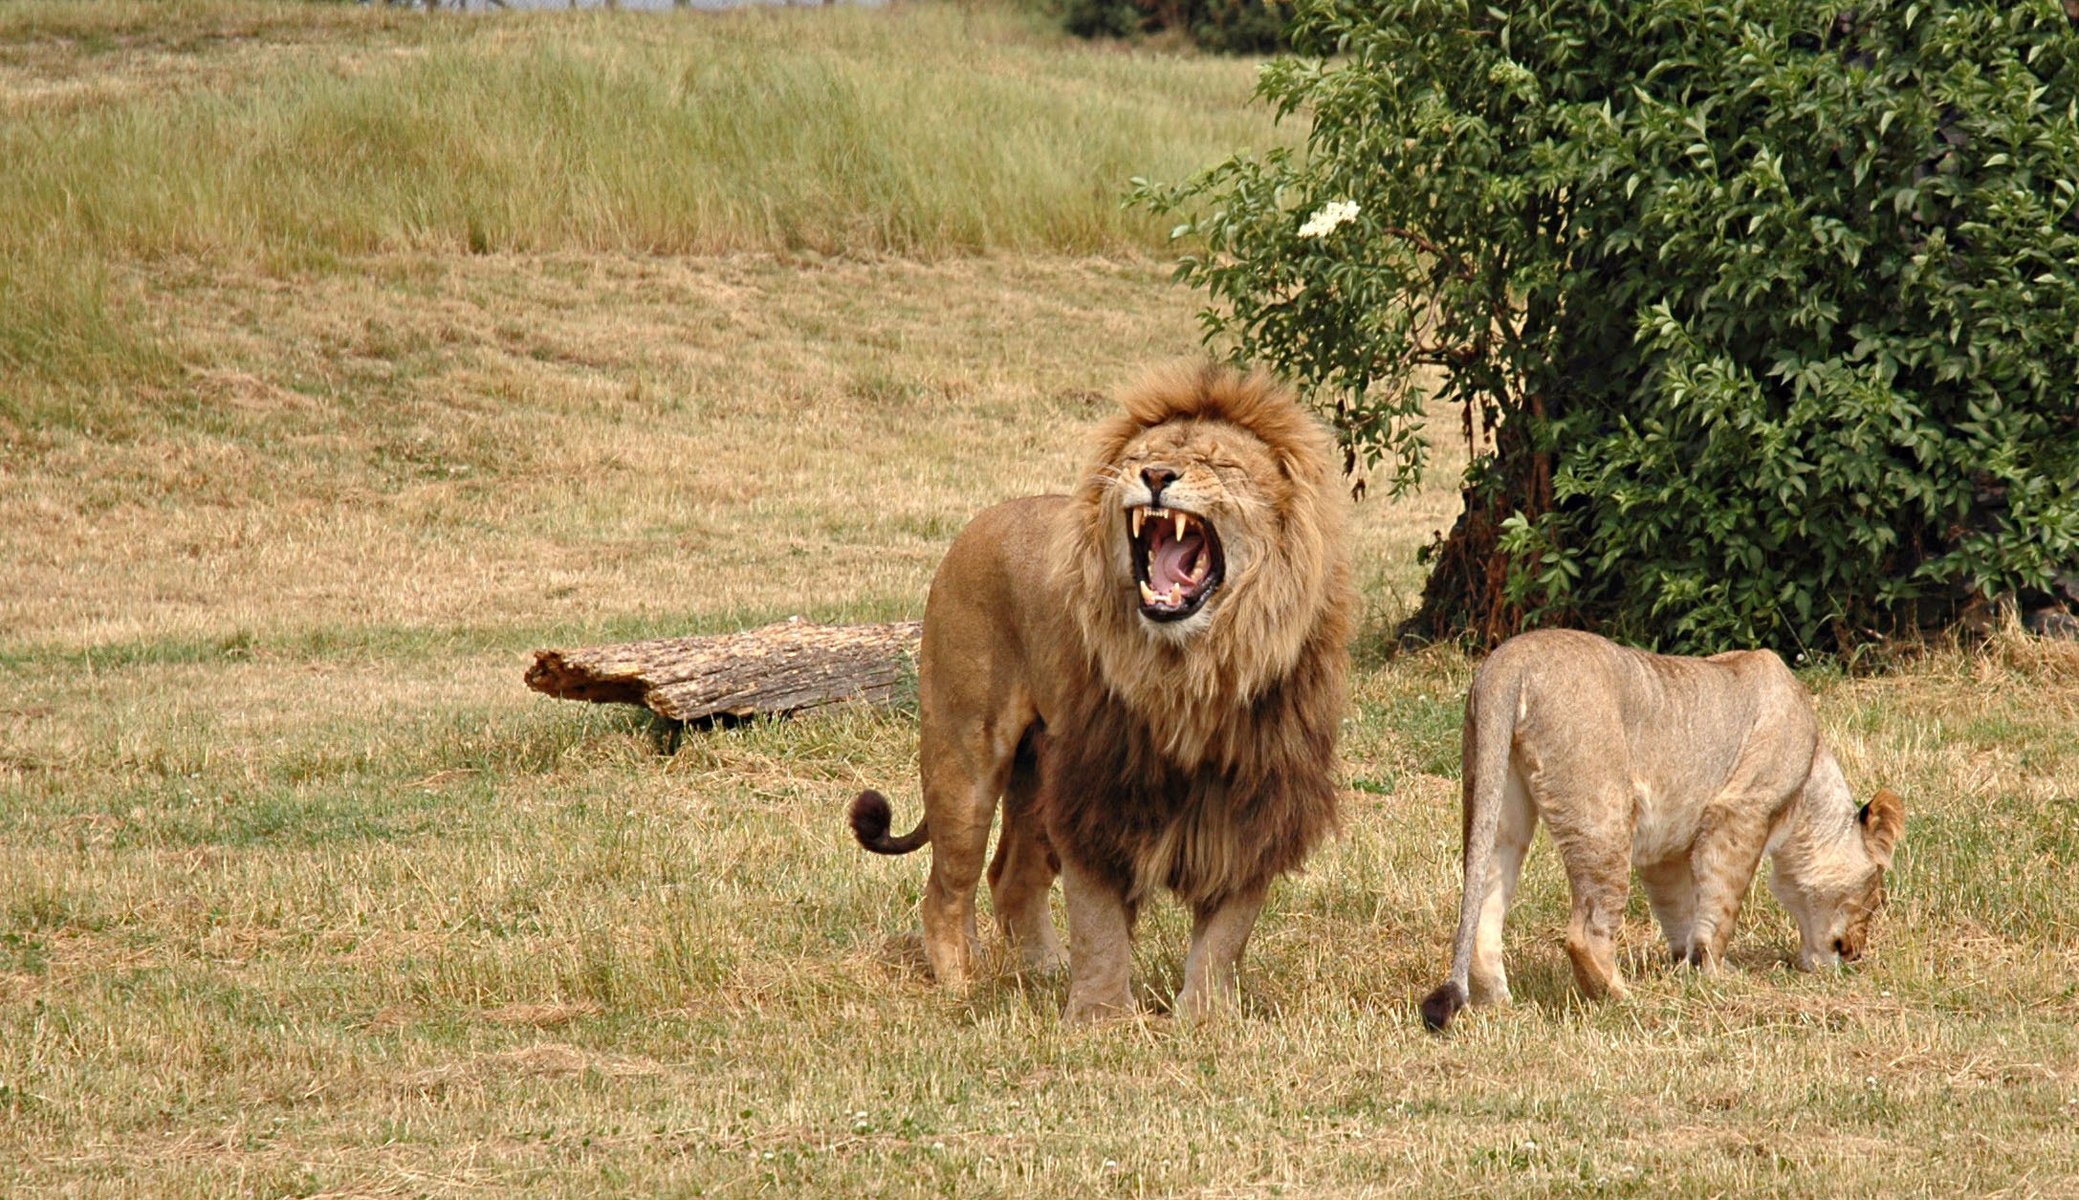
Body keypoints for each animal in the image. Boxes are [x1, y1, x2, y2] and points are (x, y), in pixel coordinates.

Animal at [848, 363, 1353, 1022]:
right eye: (1141, 456)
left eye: (1217, 463)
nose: (1157, 477)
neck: (1193, 672)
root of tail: (984, 519)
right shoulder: (1096, 790)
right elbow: (1100, 925)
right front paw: (1099, 1020)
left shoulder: (1255, 801)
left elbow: (1226, 934)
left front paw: (1205, 1020)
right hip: (963, 756)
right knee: (948, 887)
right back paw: (963, 983)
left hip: (1037, 771)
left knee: (1011, 877)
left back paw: (1042, 970)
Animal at [1420, 629, 1905, 1031]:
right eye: (1874, 895)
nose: (1855, 953)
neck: (1810, 785)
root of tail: (1509, 662)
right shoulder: (1741, 811)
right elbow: (1720, 906)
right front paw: (1716, 976)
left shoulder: (1666, 847)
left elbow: (1682, 910)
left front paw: (1688, 968)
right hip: (1606, 813)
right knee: (1585, 934)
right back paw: (1624, 1000)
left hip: (1496, 796)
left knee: (1484, 902)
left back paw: (1501, 1004)